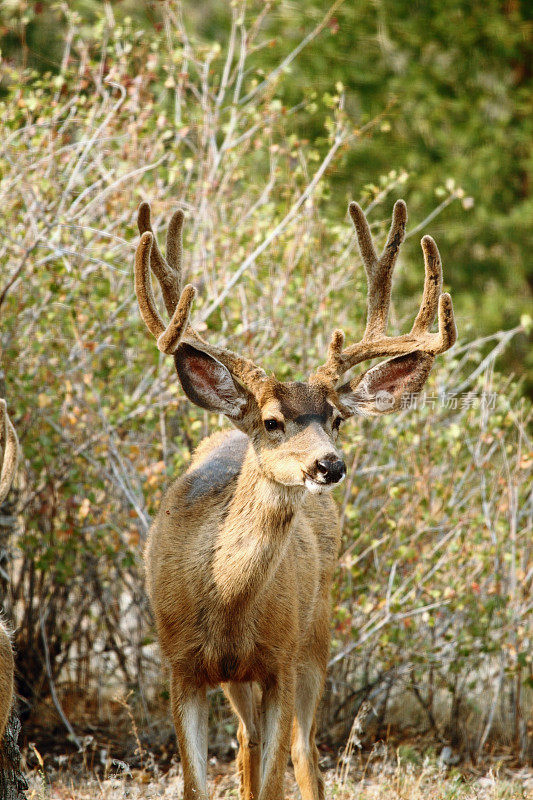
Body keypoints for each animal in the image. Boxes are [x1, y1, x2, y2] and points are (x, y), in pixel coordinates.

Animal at [133, 198, 454, 800]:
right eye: (272, 421)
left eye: (336, 419)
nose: (329, 464)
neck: (224, 603)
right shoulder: (180, 665)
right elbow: (195, 784)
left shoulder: (280, 659)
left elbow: (275, 782)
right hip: (243, 679)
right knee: (247, 739)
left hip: (316, 632)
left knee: (302, 751)